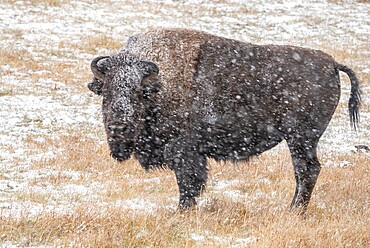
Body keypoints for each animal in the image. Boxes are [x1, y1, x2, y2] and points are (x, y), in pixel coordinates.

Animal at [88, 28, 360, 213]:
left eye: (139, 93)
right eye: (106, 92)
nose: (118, 126)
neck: (160, 85)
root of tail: (331, 63)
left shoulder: (185, 151)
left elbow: (189, 183)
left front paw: (182, 211)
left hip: (301, 138)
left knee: (307, 170)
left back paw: (294, 211)